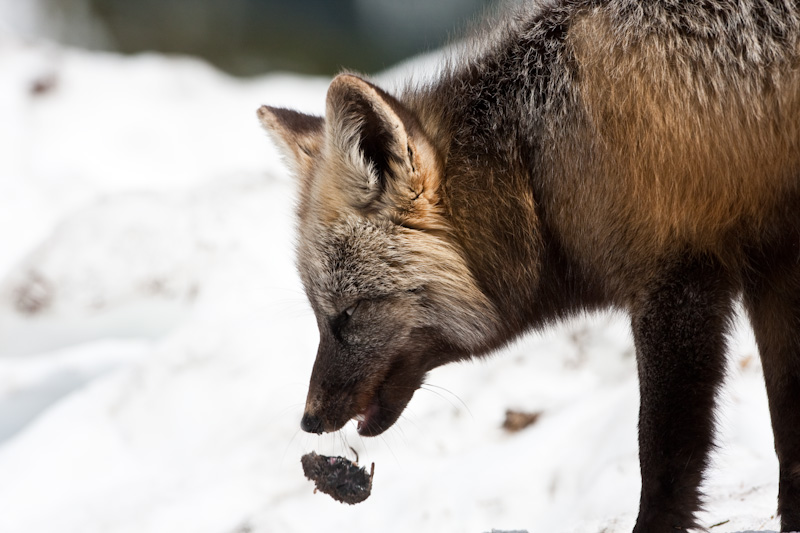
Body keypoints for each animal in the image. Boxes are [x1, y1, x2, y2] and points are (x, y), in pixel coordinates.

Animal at [258, 2, 800, 528]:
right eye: (320, 315)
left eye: (347, 314)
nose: (309, 420)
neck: (541, 168)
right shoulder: (773, 264)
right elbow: (788, 436)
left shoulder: (678, 281)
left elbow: (665, 457)